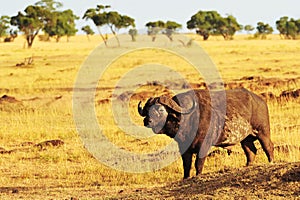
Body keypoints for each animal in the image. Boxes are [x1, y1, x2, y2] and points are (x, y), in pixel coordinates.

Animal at [138, 88, 274, 179]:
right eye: (148, 109)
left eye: (160, 110)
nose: (147, 121)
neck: (189, 119)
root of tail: (261, 101)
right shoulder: (184, 148)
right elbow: (186, 165)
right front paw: (186, 178)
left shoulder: (203, 146)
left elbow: (198, 164)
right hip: (246, 139)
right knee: (251, 151)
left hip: (263, 132)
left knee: (268, 147)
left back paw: (271, 162)